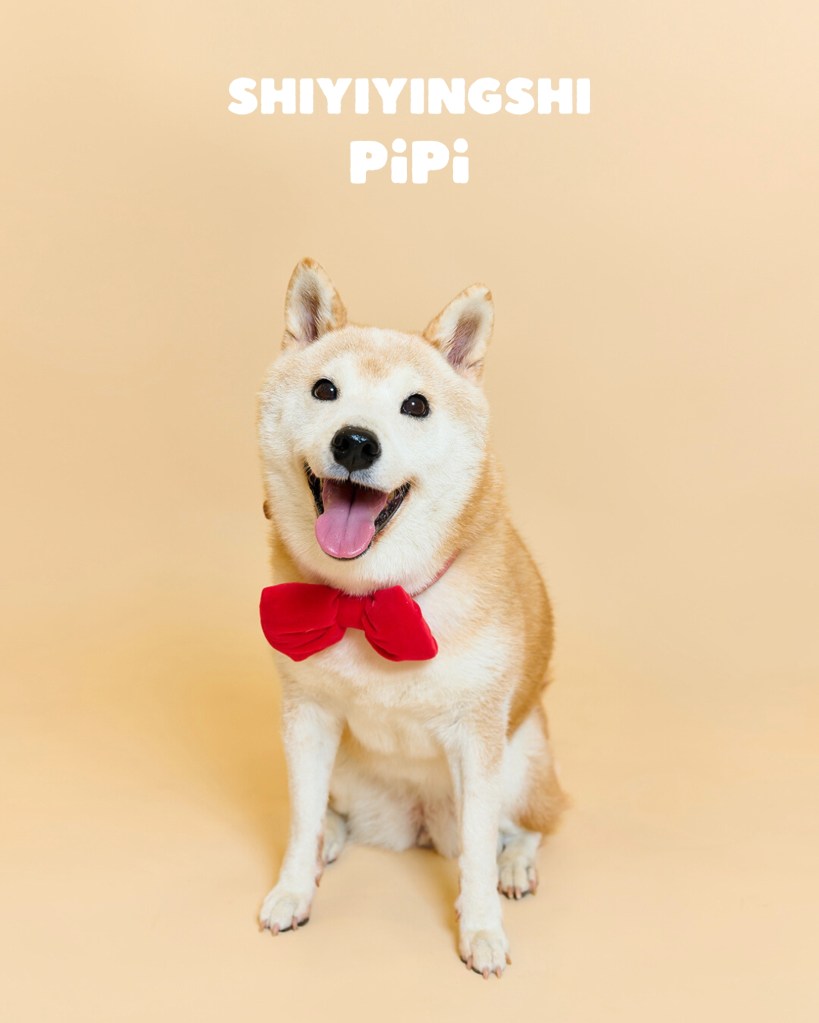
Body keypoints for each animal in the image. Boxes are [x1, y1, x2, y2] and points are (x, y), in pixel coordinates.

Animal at [257, 258, 566, 977]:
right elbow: (300, 819)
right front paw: (293, 887)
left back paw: (515, 865)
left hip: (522, 759)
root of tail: (418, 822)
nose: (355, 442)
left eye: (415, 405)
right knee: (330, 815)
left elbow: (477, 854)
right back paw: (330, 842)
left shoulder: (478, 739)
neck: (370, 599)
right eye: (324, 390)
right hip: (346, 768)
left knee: (526, 827)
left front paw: (481, 928)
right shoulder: (306, 717)